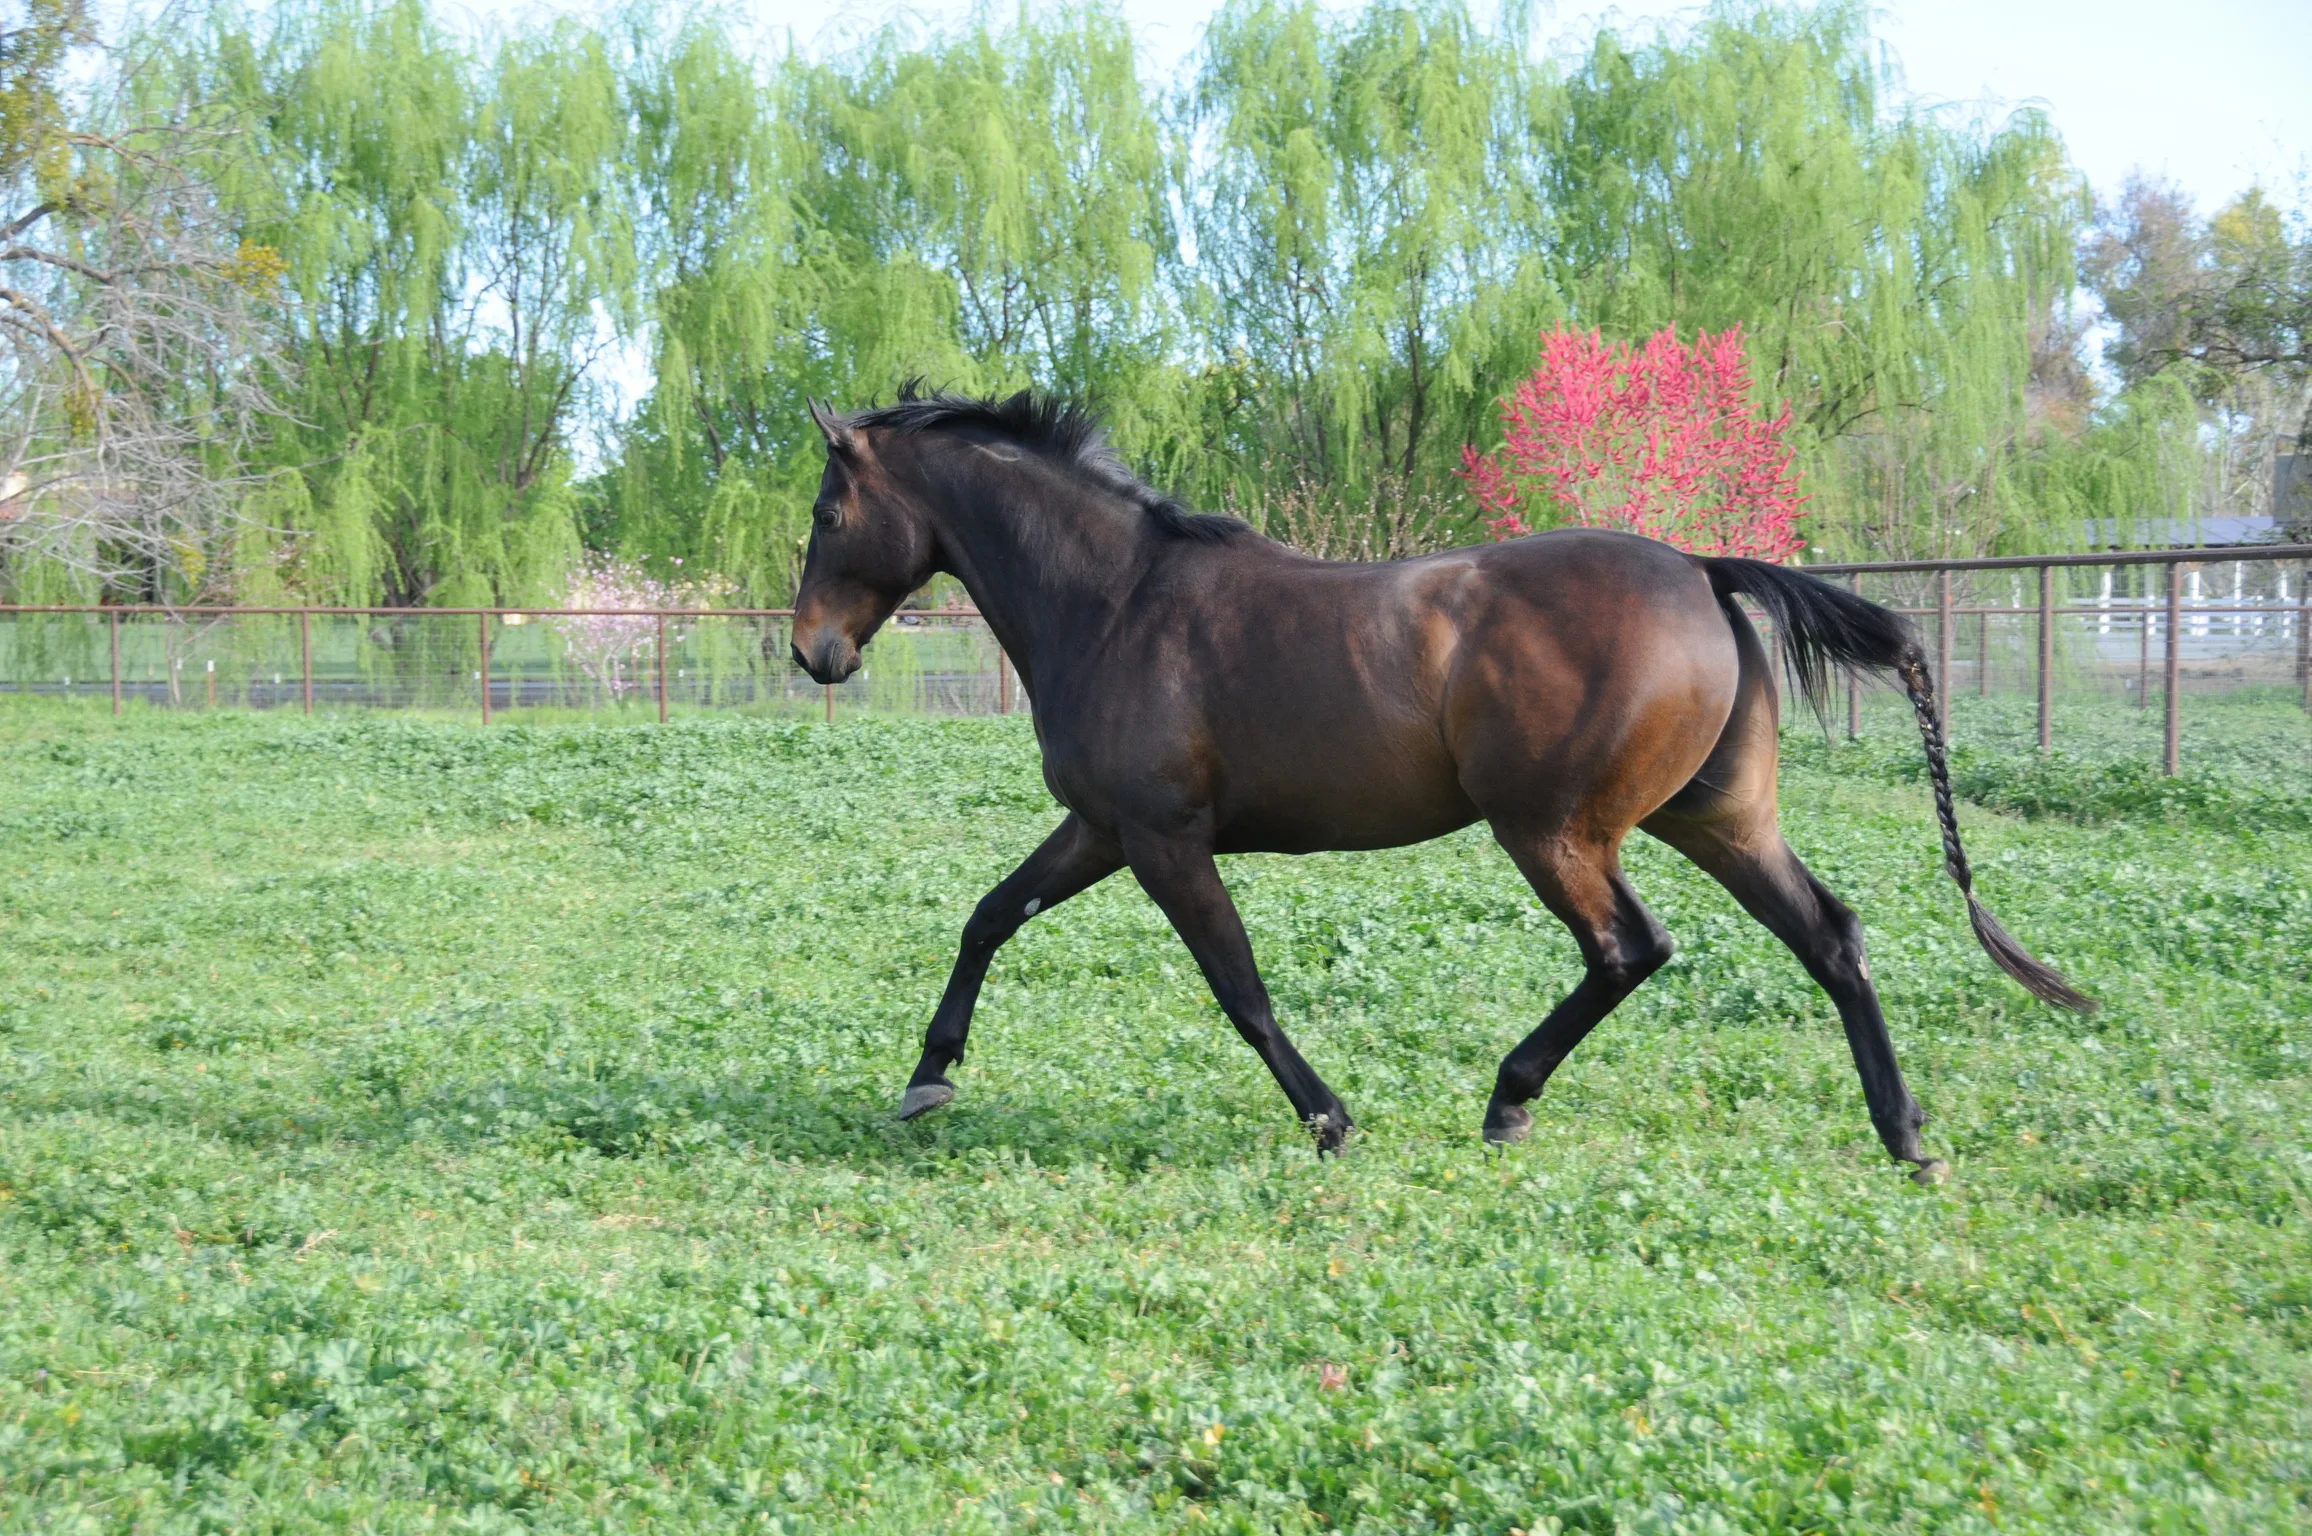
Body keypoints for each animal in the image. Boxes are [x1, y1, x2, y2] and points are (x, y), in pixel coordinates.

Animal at [788, 386, 2091, 1183]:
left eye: (826, 509)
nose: (813, 653)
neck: (1115, 603)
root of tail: (1699, 568)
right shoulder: (1101, 828)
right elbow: (988, 917)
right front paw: (925, 1080)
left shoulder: (1163, 840)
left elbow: (1237, 988)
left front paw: (1327, 1118)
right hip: (1714, 820)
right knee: (1828, 935)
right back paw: (1904, 1134)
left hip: (1554, 831)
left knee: (1630, 948)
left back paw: (1509, 1099)